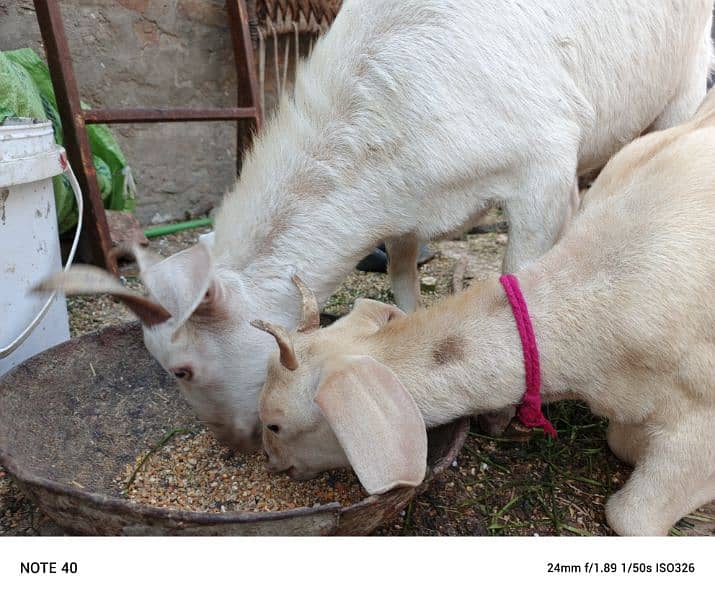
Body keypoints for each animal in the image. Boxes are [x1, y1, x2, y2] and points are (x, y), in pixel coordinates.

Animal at [40, 1, 715, 450]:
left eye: (181, 368)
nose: (232, 442)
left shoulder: (542, 169)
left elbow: (520, 273)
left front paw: (502, 417)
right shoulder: (406, 206)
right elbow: (401, 273)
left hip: (683, 80)